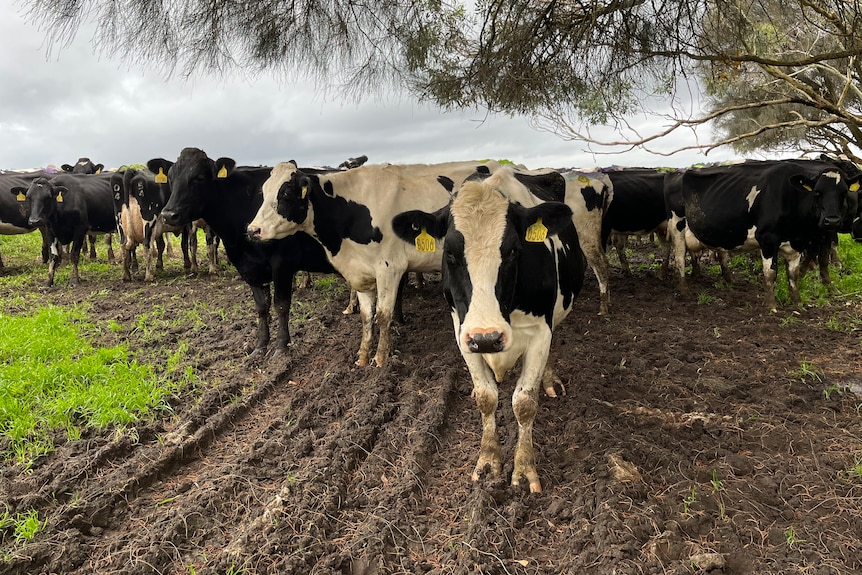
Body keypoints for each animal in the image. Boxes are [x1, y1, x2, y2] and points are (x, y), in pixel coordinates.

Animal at [152, 146, 344, 358]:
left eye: (199, 178)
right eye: (170, 177)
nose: (169, 214)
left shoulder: (283, 262)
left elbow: (281, 305)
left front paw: (281, 348)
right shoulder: (248, 267)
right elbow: (261, 306)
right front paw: (260, 346)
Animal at [246, 160, 502, 368]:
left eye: (286, 193)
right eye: (264, 192)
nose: (252, 230)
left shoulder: (389, 268)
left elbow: (383, 315)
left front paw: (380, 358)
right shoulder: (361, 272)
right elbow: (366, 316)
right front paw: (362, 357)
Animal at [392, 168, 588, 496]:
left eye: (513, 250)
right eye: (450, 253)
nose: (488, 338)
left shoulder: (540, 331)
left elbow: (524, 403)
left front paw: (523, 469)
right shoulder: (462, 330)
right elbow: (486, 397)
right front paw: (488, 460)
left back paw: (548, 380)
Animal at [664, 159, 860, 310]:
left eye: (844, 193)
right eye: (817, 193)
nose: (832, 221)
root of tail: (677, 172)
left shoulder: (797, 242)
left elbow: (793, 274)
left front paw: (797, 303)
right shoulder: (768, 239)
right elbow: (770, 272)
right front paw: (771, 305)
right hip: (677, 225)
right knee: (679, 257)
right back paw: (684, 290)